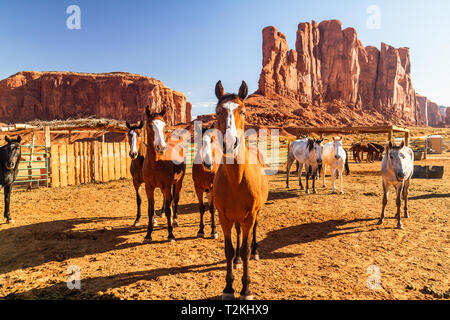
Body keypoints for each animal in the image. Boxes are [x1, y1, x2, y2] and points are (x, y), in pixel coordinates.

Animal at [142, 105, 185, 242]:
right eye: (150, 125)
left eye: (164, 125)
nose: (161, 147)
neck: (156, 163)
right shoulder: (149, 187)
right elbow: (151, 210)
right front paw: (148, 235)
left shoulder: (166, 186)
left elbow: (167, 209)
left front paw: (171, 235)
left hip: (178, 183)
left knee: (175, 199)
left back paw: (175, 220)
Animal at [211, 80, 268, 300]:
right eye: (218, 111)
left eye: (243, 112)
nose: (230, 142)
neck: (236, 180)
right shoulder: (224, 216)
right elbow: (229, 249)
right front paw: (228, 288)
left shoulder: (249, 216)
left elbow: (244, 249)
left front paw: (246, 289)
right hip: (235, 217)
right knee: (236, 235)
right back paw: (235, 261)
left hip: (254, 214)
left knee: (253, 233)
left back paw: (255, 251)